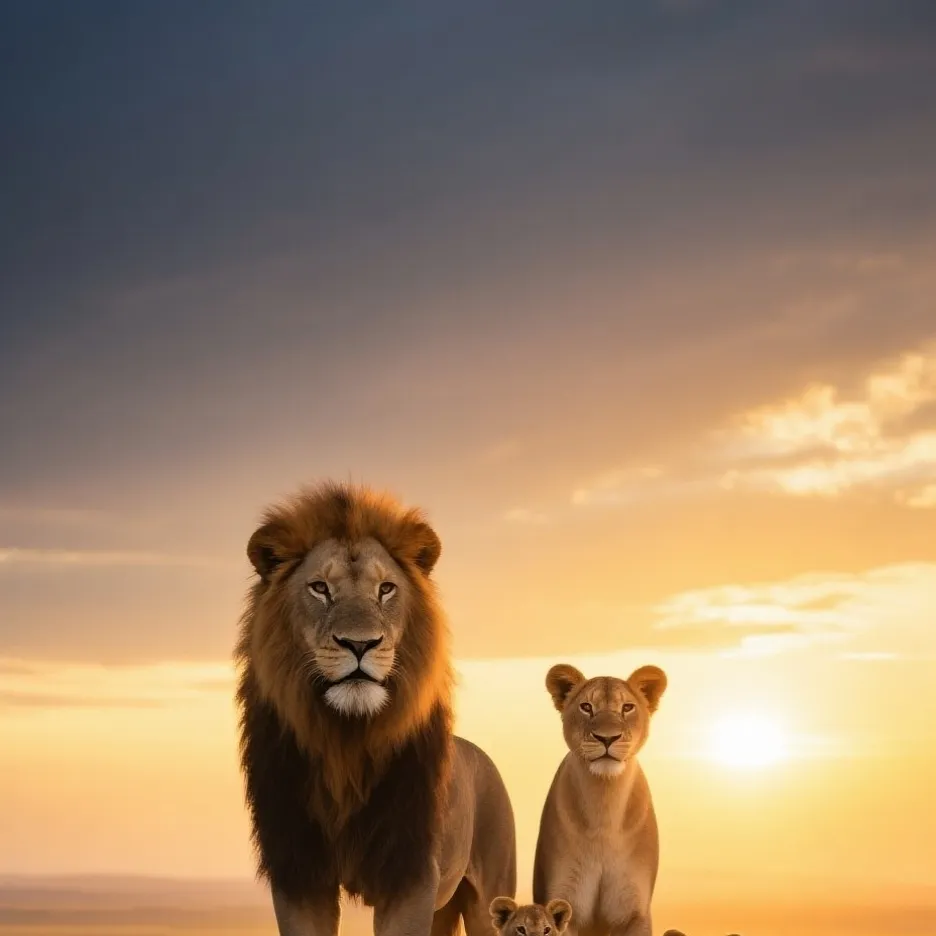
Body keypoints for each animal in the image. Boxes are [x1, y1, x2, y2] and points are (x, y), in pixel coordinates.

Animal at [235, 482, 517, 936]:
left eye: (385, 589)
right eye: (320, 588)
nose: (360, 643)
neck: (346, 743)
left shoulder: (410, 874)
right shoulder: (299, 873)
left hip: (490, 894)